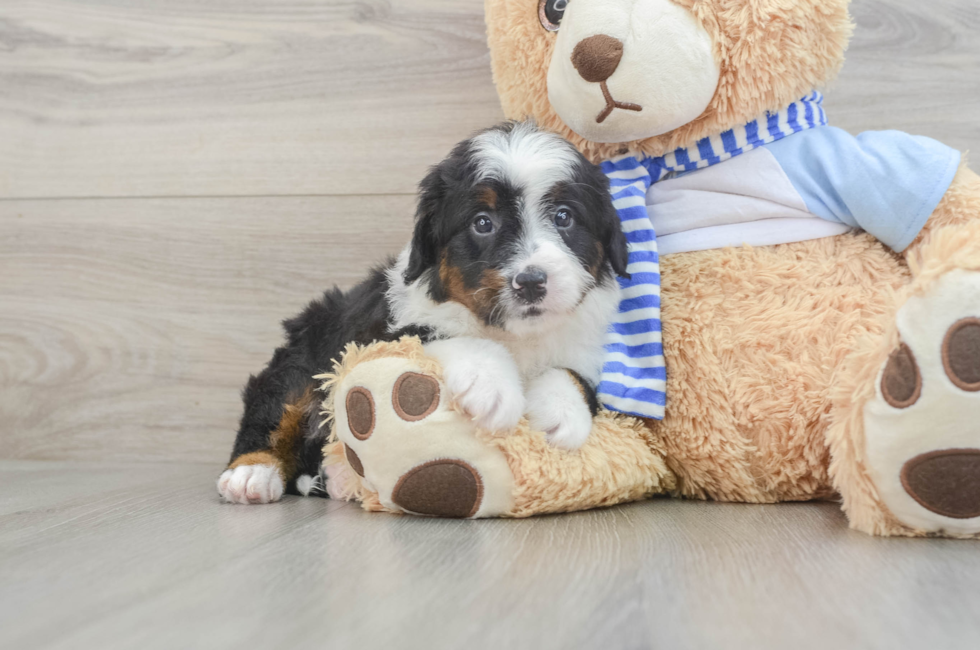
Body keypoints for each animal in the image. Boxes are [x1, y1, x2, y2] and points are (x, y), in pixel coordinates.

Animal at [216, 123, 628, 506]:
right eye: (482, 222)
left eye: (564, 217)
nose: (530, 282)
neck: (515, 336)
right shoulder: (375, 336)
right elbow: (440, 332)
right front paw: (490, 385)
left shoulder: (583, 344)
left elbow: (574, 374)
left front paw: (561, 412)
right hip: (305, 353)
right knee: (274, 405)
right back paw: (251, 473)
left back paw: (335, 477)